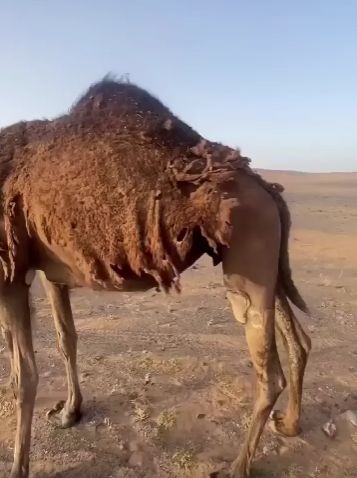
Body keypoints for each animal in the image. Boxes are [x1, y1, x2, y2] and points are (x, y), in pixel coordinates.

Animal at [0, 76, 310, 476]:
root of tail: (267, 189)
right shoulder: (50, 271)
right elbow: (66, 338)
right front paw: (70, 412)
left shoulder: (9, 273)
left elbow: (24, 376)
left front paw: (17, 467)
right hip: (265, 262)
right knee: (298, 341)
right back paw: (289, 424)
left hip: (247, 260)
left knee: (269, 372)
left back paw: (237, 466)